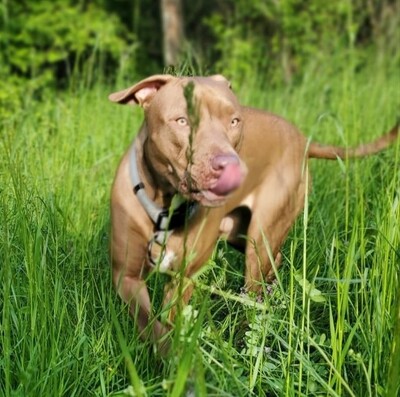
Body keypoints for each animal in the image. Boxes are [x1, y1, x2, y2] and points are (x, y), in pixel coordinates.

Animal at [108, 73, 398, 346]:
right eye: (182, 121)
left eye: (234, 122)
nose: (231, 166)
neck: (164, 208)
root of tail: (302, 139)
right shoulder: (127, 278)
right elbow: (151, 325)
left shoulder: (183, 279)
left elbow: (168, 326)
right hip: (239, 233)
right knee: (274, 260)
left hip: (260, 237)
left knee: (257, 285)